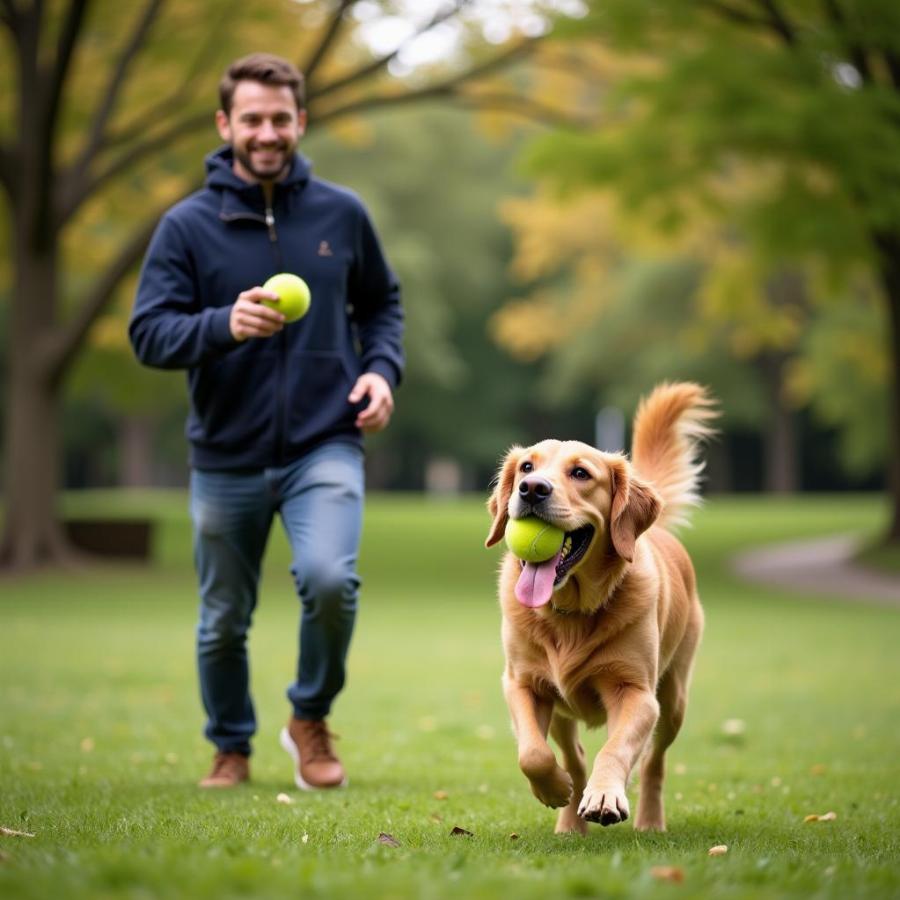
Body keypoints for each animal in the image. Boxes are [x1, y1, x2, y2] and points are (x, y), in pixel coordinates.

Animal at [486, 384, 716, 832]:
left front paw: (606, 795)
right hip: (562, 709)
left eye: (580, 474)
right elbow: (533, 753)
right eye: (526, 467)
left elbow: (616, 749)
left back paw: (648, 820)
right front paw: (554, 789)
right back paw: (569, 820)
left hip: (674, 699)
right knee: (574, 756)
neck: (571, 612)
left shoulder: (637, 693)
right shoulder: (522, 682)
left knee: (653, 763)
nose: (532, 489)